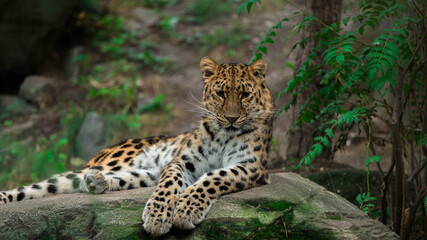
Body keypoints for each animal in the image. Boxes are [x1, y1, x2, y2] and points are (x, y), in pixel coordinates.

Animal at [0, 56, 274, 236]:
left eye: (244, 95)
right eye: (220, 93)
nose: (231, 118)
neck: (225, 135)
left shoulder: (252, 166)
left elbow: (214, 178)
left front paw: (185, 210)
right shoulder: (184, 161)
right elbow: (170, 182)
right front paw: (158, 215)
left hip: (145, 173)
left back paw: (97, 182)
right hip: (117, 160)